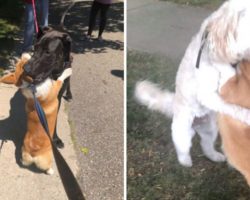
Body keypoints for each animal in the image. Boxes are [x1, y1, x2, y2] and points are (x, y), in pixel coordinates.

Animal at [135, 0, 250, 185]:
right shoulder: (209, 95)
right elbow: (233, 107)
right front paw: (247, 115)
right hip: (181, 132)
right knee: (182, 148)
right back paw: (185, 162)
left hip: (211, 129)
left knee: (206, 145)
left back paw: (215, 156)